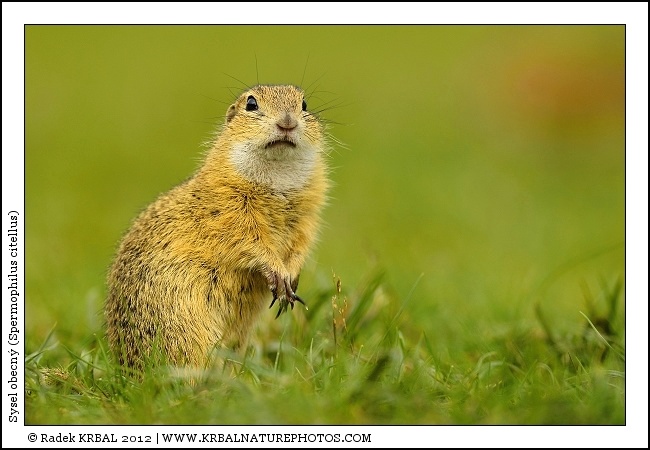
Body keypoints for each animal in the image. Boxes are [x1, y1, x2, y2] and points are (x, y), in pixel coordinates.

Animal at [105, 84, 329, 368]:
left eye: (304, 104)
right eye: (251, 104)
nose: (287, 122)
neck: (278, 180)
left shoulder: (307, 217)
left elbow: (301, 244)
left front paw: (291, 275)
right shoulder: (229, 213)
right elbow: (250, 243)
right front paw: (277, 273)